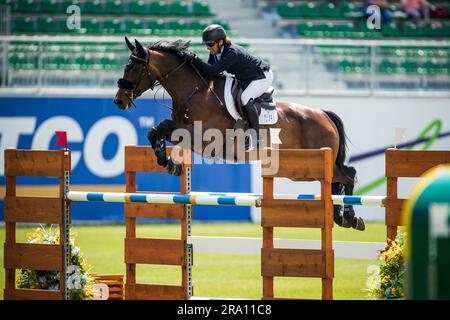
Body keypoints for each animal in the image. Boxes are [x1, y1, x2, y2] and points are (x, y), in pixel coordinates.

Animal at [113, 37, 366, 230]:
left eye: (133, 67)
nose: (119, 101)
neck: (195, 91)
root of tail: (323, 113)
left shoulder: (203, 137)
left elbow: (163, 126)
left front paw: (170, 164)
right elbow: (155, 130)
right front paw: (169, 163)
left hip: (314, 161)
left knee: (347, 174)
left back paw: (351, 217)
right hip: (303, 168)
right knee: (336, 181)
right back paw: (340, 217)